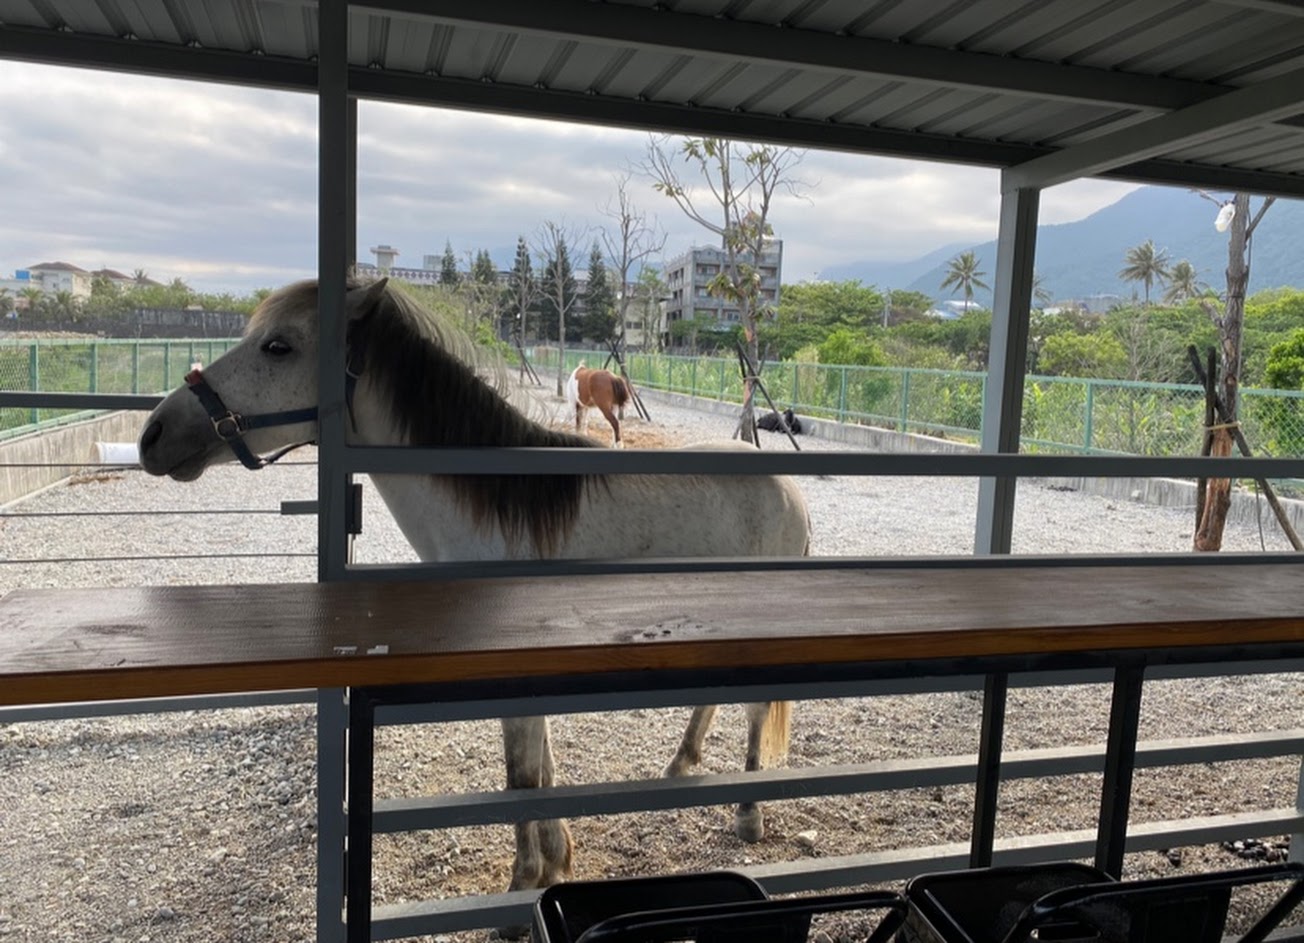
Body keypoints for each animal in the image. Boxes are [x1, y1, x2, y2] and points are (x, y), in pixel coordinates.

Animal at [136, 277, 810, 907]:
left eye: (278, 346)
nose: (154, 433)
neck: (499, 510)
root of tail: (790, 491)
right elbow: (540, 768)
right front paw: (556, 860)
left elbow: (521, 774)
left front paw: (524, 882)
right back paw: (680, 766)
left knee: (755, 709)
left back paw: (747, 814)